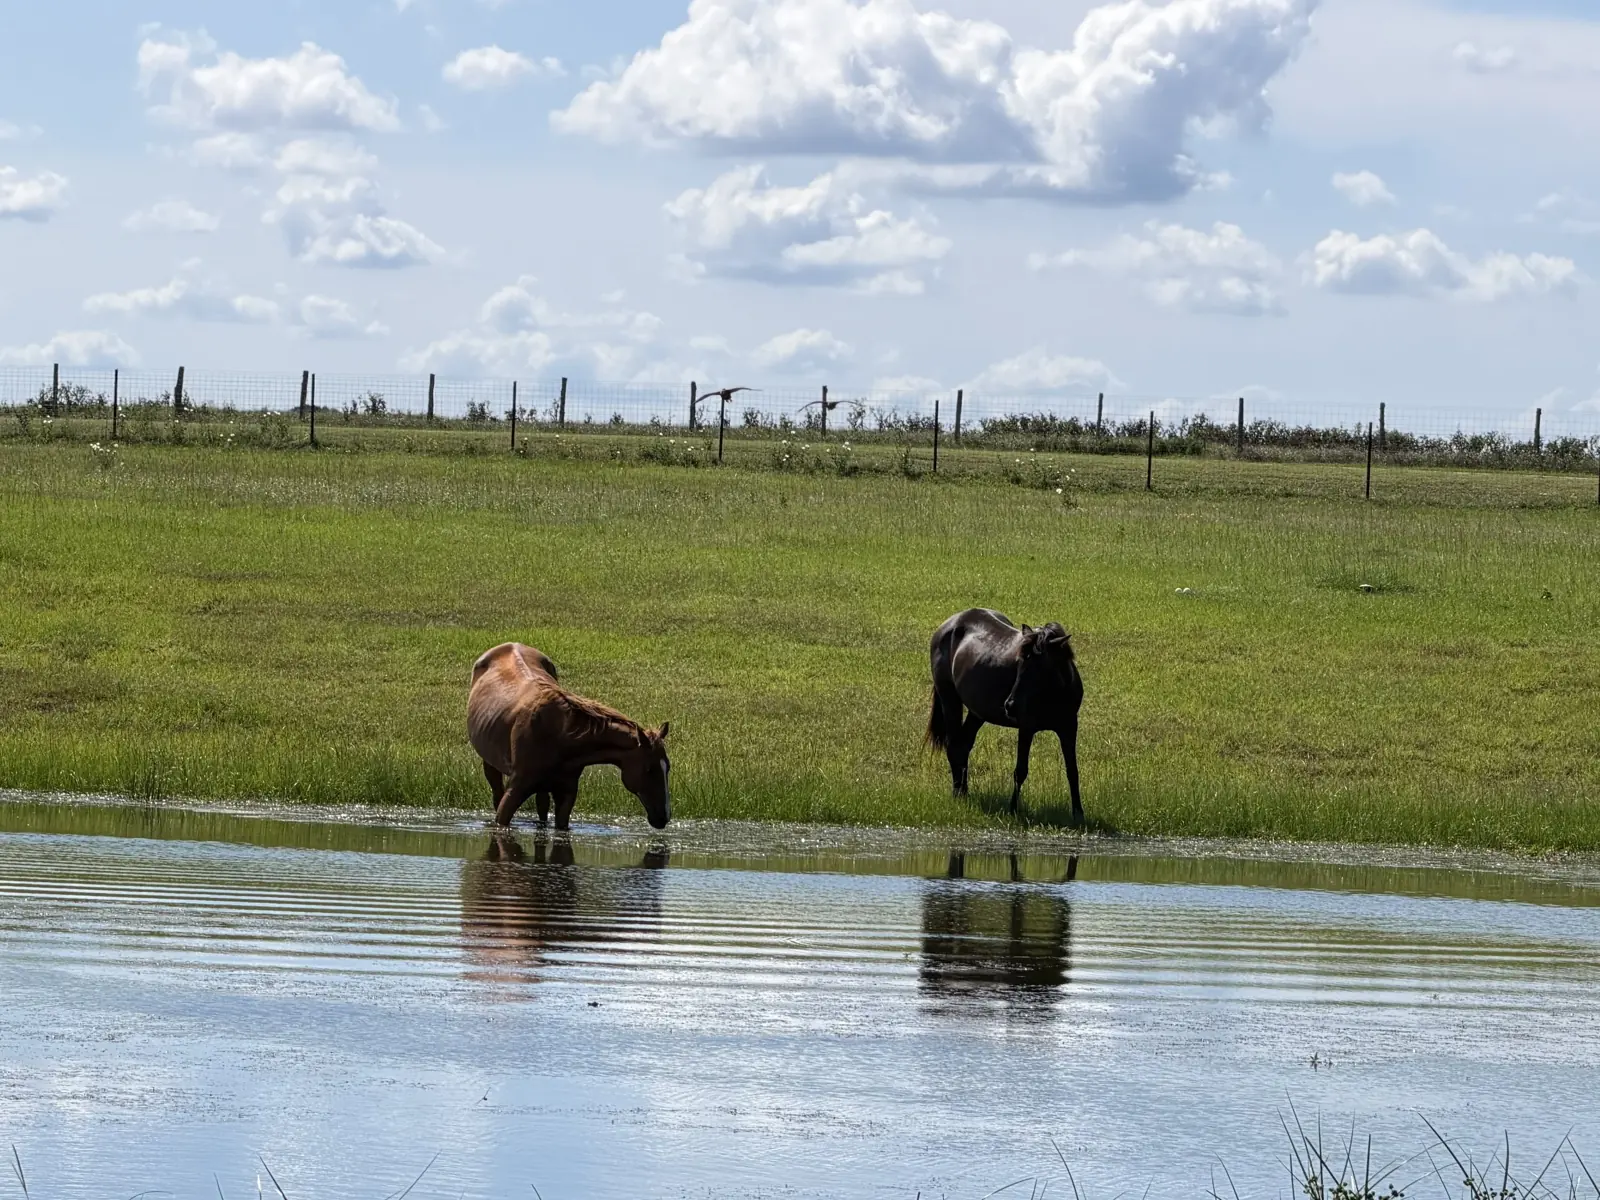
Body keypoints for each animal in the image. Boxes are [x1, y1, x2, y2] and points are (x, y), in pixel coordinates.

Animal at [467, 643, 671, 830]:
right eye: (648, 769)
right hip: (491, 766)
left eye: (667, 768)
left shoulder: (567, 794)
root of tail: (510, 644)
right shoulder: (515, 790)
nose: (664, 817)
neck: (561, 735)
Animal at [927, 609, 1084, 822]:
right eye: (1019, 663)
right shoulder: (1026, 728)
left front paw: (1078, 814)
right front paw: (1013, 809)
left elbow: (1072, 771)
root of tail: (949, 624)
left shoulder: (1069, 727)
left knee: (963, 745)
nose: (1010, 706)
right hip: (949, 699)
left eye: (1041, 667)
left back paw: (964, 792)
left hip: (977, 712)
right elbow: (1020, 771)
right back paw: (958, 793)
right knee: (953, 746)